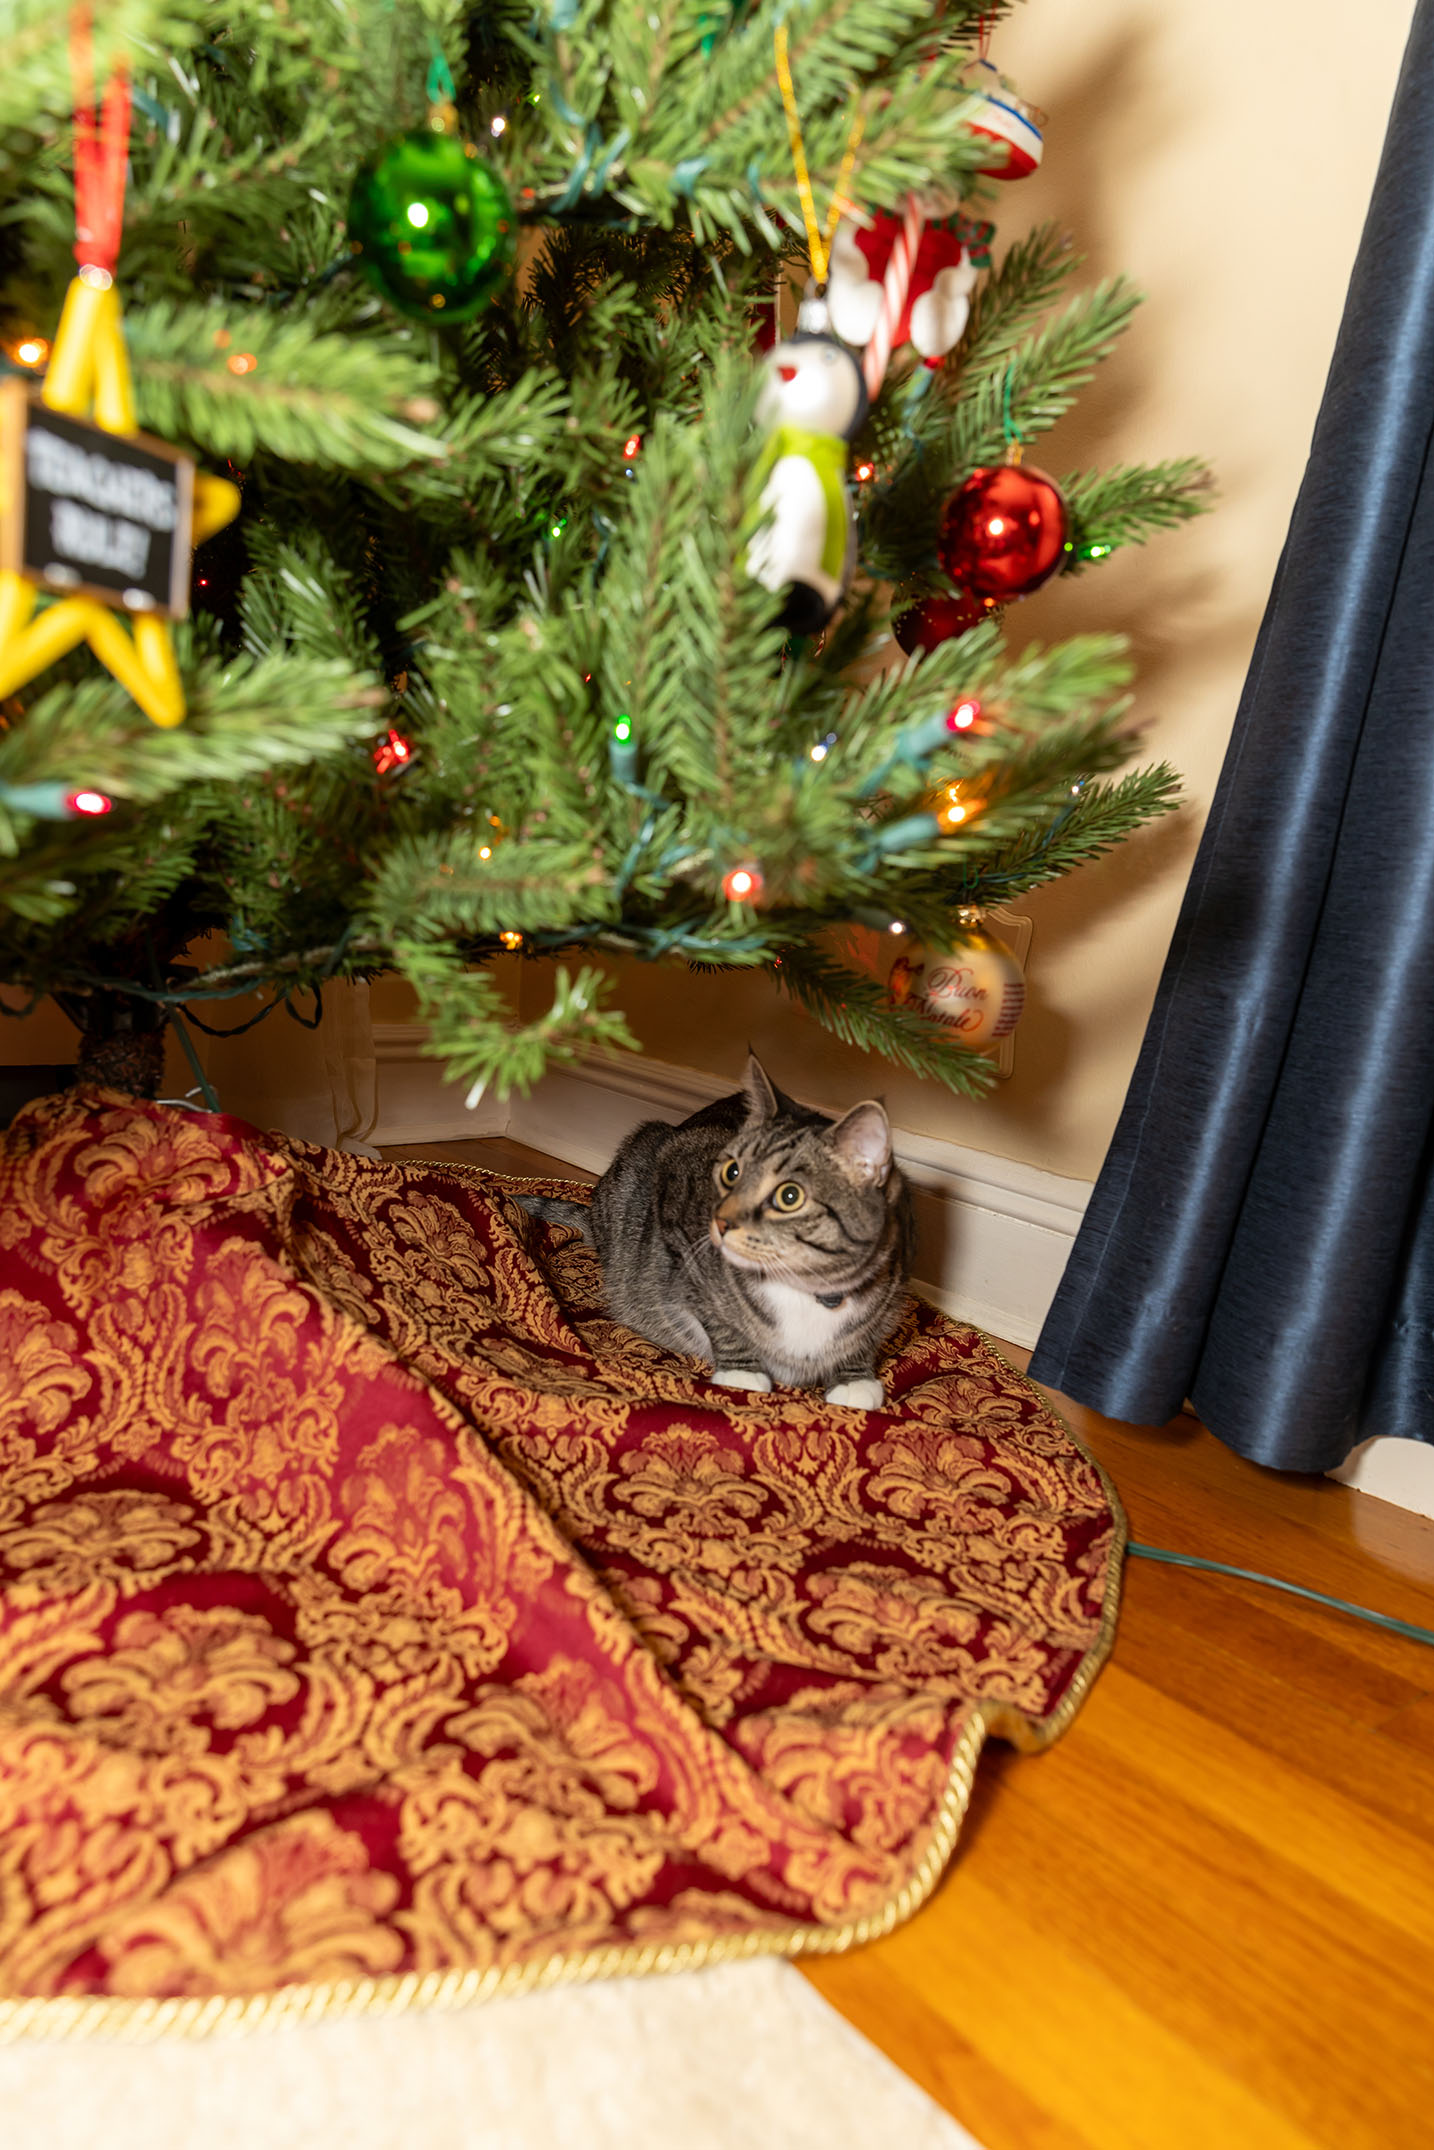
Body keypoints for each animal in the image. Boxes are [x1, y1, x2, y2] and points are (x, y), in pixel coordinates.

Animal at [517, 1053, 914, 1410]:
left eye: (789, 1196)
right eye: (731, 1172)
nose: (721, 1222)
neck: (805, 1285)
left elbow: (865, 1336)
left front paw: (854, 1379)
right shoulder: (678, 1230)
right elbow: (716, 1315)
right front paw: (743, 1374)